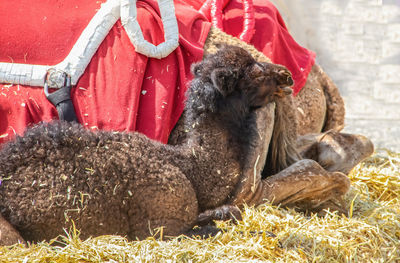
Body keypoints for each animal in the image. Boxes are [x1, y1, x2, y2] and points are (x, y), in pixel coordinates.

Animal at [0, 45, 294, 245]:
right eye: (254, 73)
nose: (287, 75)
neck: (188, 168)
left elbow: (230, 213)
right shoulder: (162, 226)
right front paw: (269, 234)